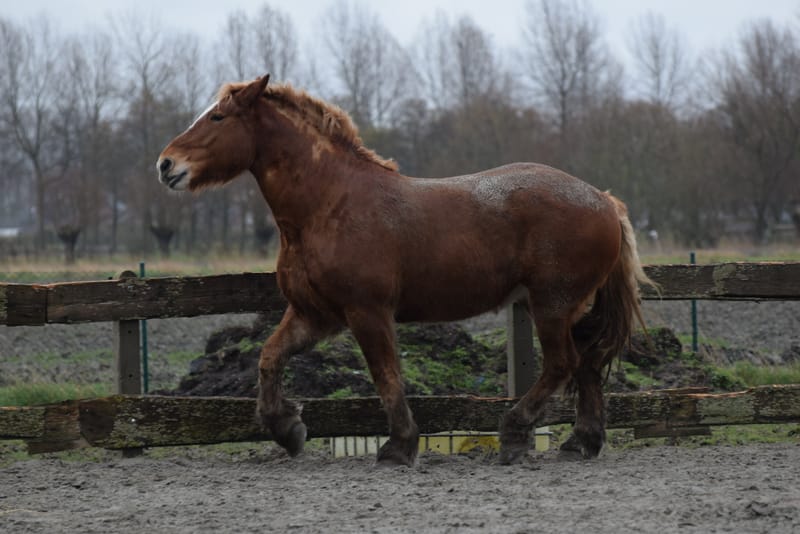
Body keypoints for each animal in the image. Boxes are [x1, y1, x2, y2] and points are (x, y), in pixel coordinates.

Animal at [157, 75, 655, 467]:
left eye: (218, 118)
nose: (165, 164)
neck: (330, 204)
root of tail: (603, 199)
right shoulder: (314, 314)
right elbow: (269, 357)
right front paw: (287, 429)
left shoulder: (367, 312)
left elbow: (386, 375)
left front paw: (399, 446)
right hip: (566, 308)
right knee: (587, 362)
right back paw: (581, 442)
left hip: (551, 304)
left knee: (562, 363)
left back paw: (515, 433)